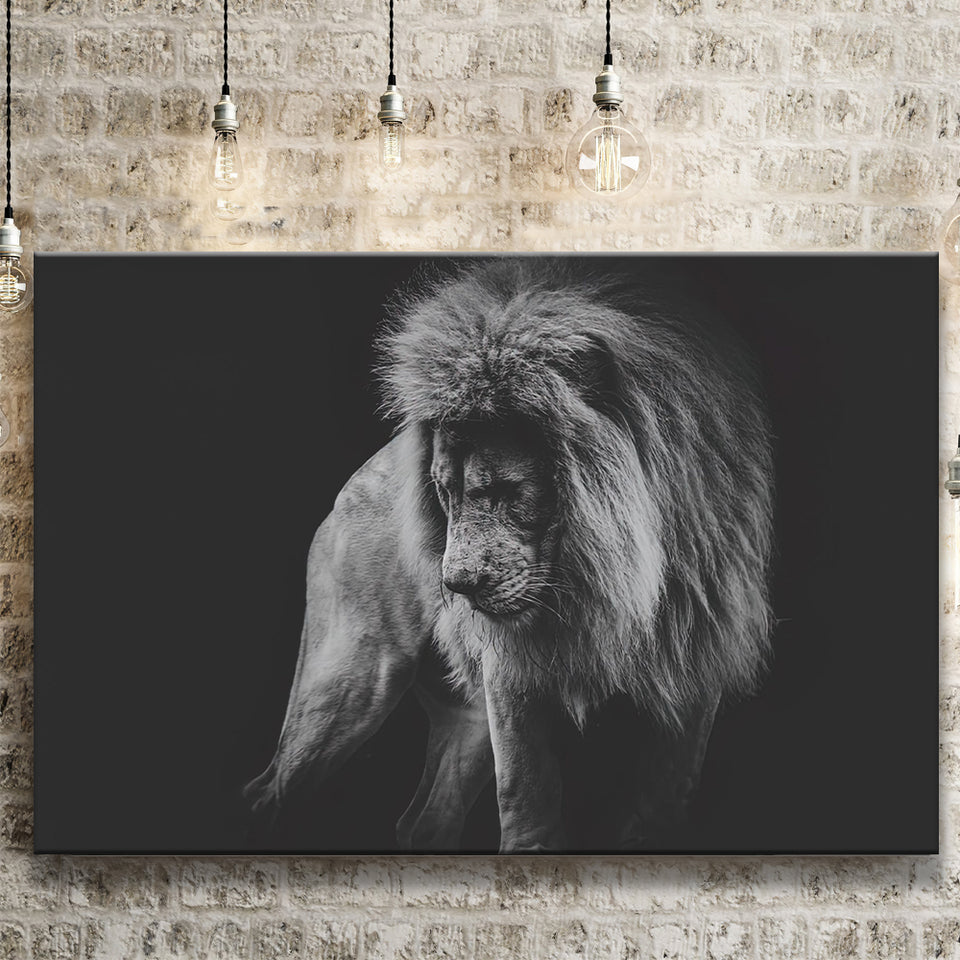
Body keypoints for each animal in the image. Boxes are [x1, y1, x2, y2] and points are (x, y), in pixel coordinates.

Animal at [244, 258, 774, 852]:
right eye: (443, 491)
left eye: (503, 490)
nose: (454, 588)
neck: (624, 578)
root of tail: (357, 478)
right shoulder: (512, 676)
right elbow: (528, 803)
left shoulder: (697, 668)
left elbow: (659, 803)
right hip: (349, 677)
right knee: (271, 792)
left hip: (466, 725)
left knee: (424, 823)